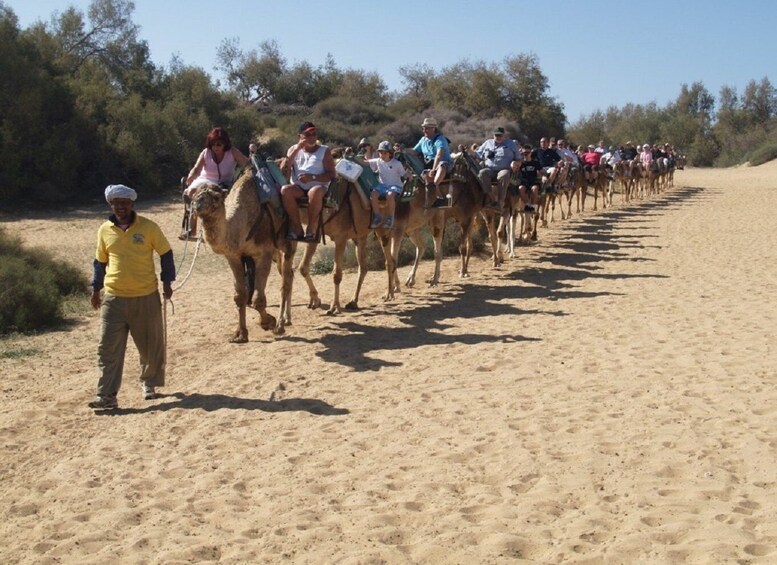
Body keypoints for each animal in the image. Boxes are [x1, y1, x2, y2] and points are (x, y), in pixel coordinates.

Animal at [190, 170, 294, 342]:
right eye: (194, 196)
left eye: (216, 197)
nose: (197, 206)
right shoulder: (234, 256)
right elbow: (240, 295)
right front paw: (240, 334)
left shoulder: (263, 253)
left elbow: (258, 299)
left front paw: (268, 322)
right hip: (276, 253)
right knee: (289, 275)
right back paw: (287, 319)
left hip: (287, 242)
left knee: (285, 280)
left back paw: (280, 324)